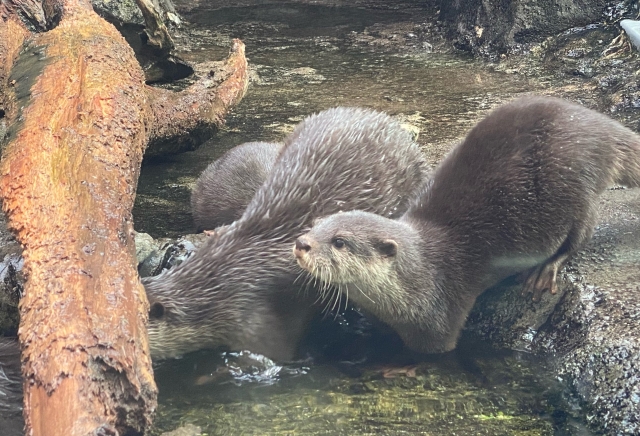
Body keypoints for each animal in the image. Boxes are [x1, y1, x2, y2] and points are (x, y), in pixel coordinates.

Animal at [294, 95, 640, 354]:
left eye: (339, 241)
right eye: (315, 224)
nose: (301, 244)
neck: (420, 275)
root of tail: (600, 128)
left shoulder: (440, 316)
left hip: (576, 184)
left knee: (583, 231)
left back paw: (546, 269)